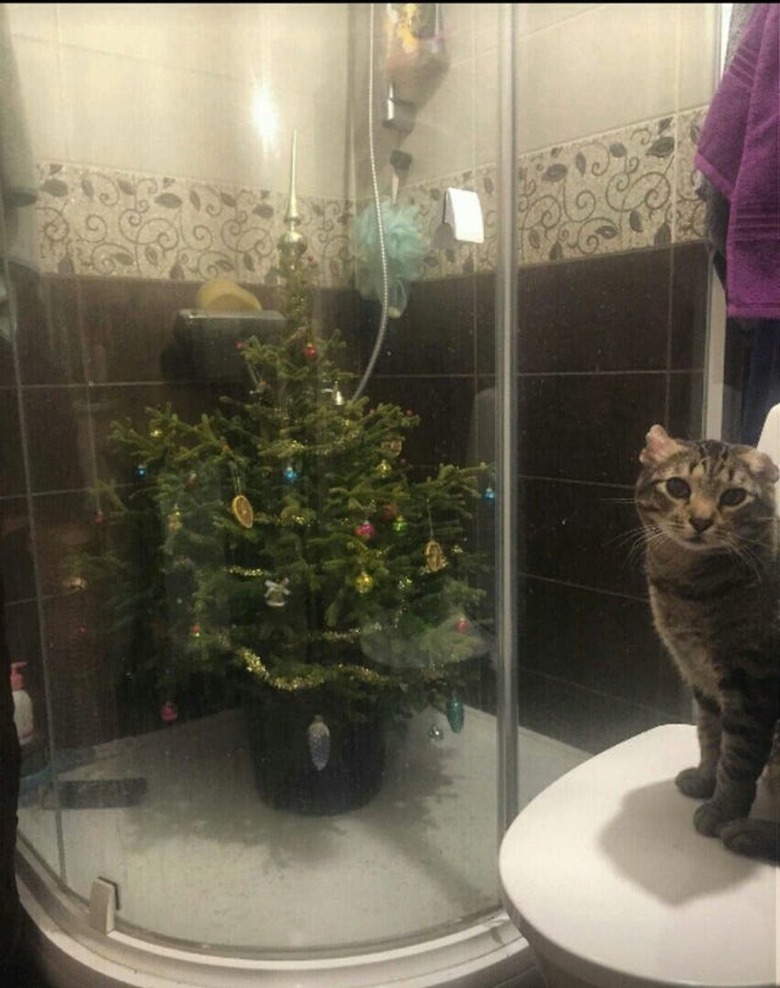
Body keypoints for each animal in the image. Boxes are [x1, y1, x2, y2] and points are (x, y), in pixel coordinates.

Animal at [632, 424, 780, 864]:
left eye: (733, 497)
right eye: (678, 487)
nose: (700, 520)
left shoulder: (750, 684)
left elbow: (738, 757)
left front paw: (723, 810)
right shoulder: (700, 678)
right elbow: (710, 737)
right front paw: (704, 779)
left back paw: (746, 832)